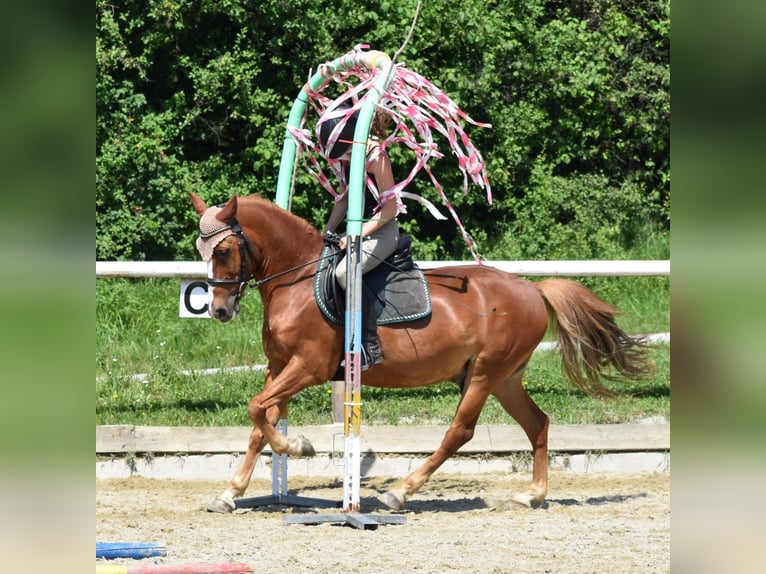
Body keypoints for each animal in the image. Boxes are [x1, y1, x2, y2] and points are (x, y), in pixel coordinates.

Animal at [189, 192, 652, 512]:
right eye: (200, 250)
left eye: (224, 250)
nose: (219, 310)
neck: (297, 281)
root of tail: (534, 289)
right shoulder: (279, 367)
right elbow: (258, 421)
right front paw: (230, 493)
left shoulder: (308, 367)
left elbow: (256, 409)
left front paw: (299, 446)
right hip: (505, 378)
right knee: (537, 423)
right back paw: (532, 496)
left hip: (485, 373)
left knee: (460, 431)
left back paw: (400, 492)